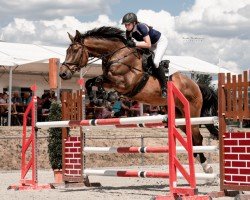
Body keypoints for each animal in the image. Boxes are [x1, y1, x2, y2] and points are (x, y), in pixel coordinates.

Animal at [59, 26, 218, 173]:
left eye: (75, 51)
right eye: (67, 51)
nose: (63, 74)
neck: (118, 55)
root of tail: (196, 85)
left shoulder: (125, 83)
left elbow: (104, 83)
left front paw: (108, 97)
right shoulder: (108, 80)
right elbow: (91, 82)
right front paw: (98, 99)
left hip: (192, 113)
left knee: (198, 137)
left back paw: (207, 167)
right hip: (179, 117)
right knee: (193, 138)